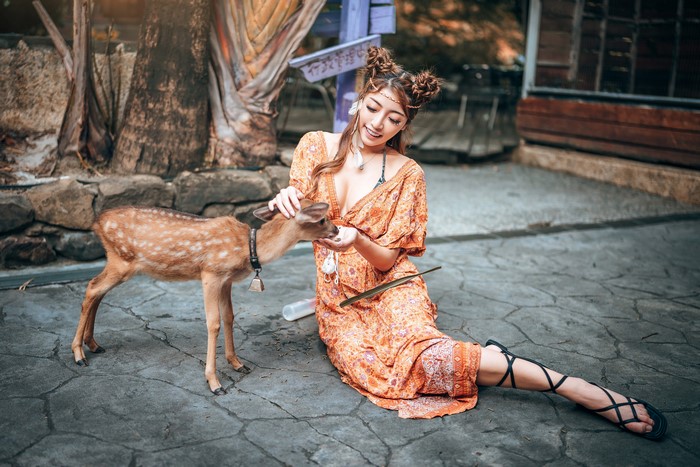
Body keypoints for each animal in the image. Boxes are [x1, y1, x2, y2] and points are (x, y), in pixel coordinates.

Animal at [71, 200, 338, 395]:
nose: (336, 229)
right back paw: (79, 354)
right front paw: (214, 382)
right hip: (122, 261)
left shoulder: (226, 280)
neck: (247, 249)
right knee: (92, 289)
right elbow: (214, 323)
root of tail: (96, 223)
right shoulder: (210, 273)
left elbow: (229, 317)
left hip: (118, 262)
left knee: (97, 291)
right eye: (321, 219)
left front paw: (237, 363)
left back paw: (93, 344)